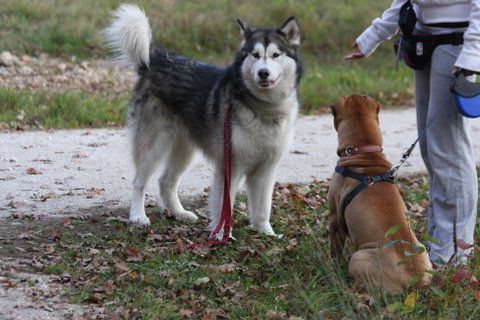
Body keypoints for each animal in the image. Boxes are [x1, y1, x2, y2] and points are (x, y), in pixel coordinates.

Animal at [328, 94, 434, 292]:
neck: (365, 152)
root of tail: (414, 281)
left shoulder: (335, 219)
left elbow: (334, 251)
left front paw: (332, 269)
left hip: (359, 258)